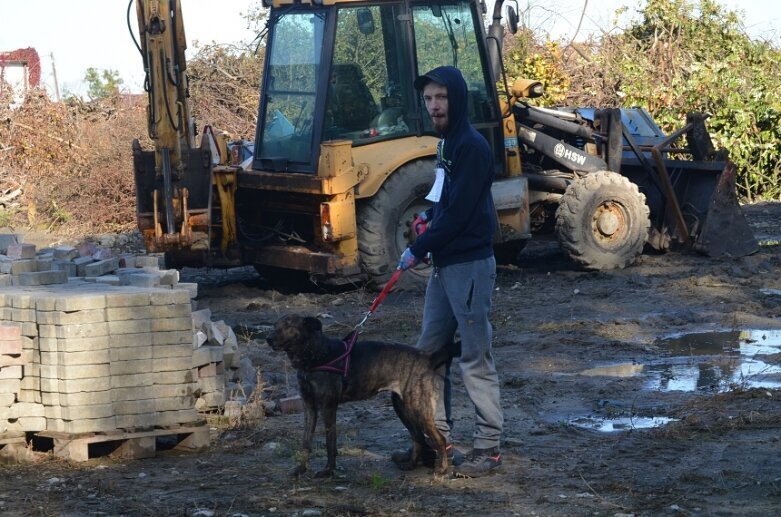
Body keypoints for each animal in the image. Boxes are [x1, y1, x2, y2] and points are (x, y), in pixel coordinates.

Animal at [266, 312, 450, 478]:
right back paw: (411, 464)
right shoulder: (309, 407)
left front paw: (328, 471)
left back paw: (442, 469)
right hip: (402, 407)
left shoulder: (328, 407)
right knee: (418, 437)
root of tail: (427, 358)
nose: (268, 339)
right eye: (275, 325)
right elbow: (306, 442)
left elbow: (330, 442)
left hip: (417, 407)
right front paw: (301, 469)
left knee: (439, 438)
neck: (315, 355)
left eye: (288, 326)